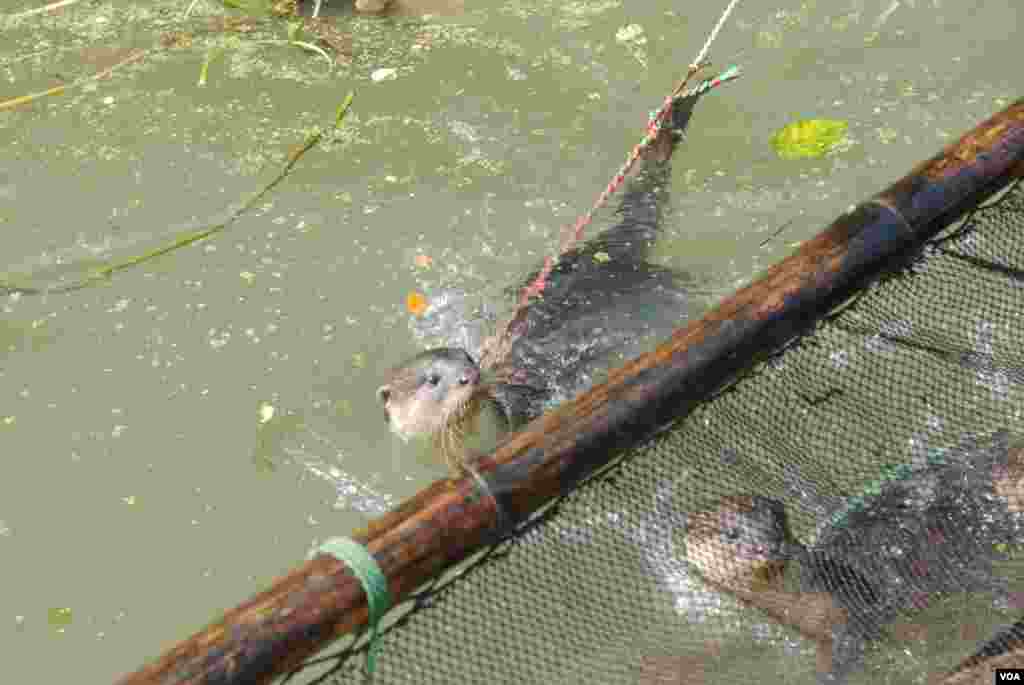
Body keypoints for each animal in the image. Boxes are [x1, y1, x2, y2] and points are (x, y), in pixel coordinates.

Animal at [682, 431, 1024, 684]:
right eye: (732, 533)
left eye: (776, 522)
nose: (768, 544)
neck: (804, 606)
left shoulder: (853, 610)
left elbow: (852, 643)